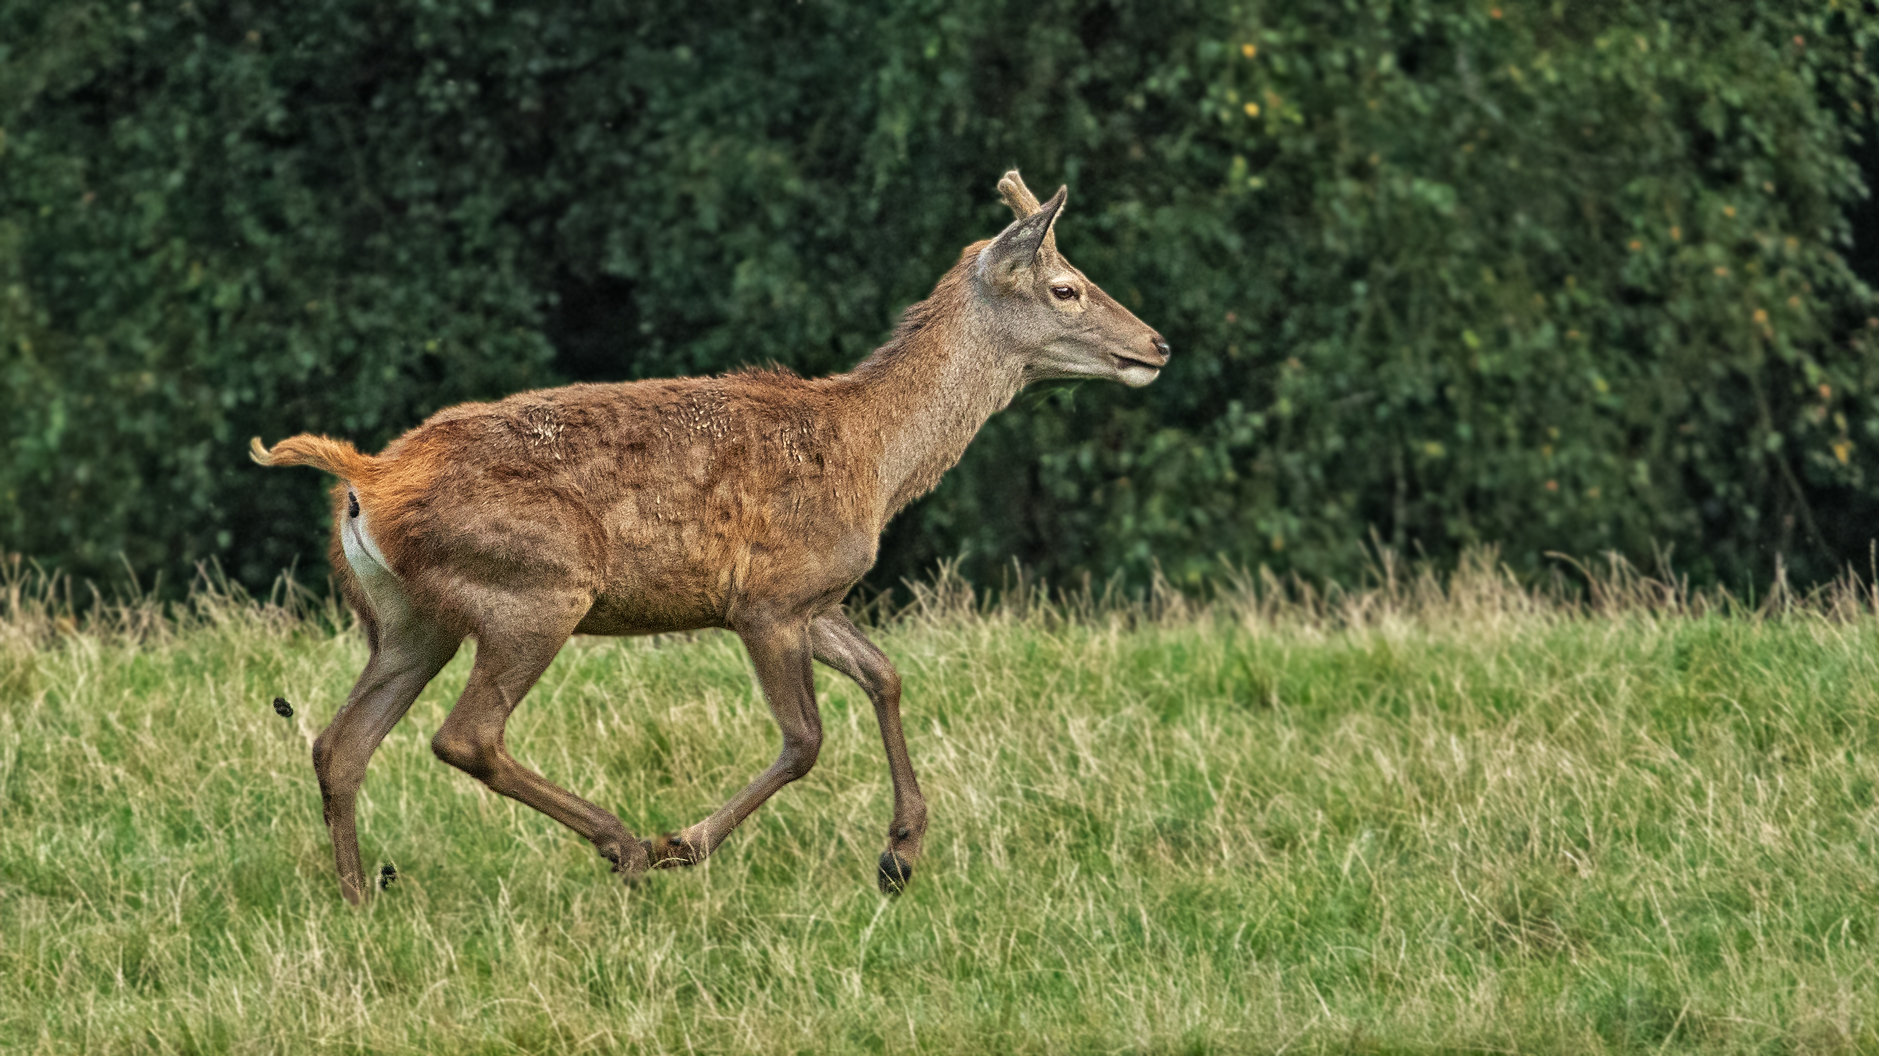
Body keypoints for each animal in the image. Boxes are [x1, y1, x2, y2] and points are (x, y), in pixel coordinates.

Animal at [246, 168, 1157, 901]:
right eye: (1066, 287)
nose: (1156, 343)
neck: (872, 459)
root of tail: (364, 480)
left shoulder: (815, 596)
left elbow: (886, 676)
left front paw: (900, 854)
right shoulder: (765, 598)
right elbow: (805, 739)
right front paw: (685, 843)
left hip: (411, 618)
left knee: (340, 743)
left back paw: (358, 897)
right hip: (535, 586)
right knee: (464, 735)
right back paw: (623, 845)